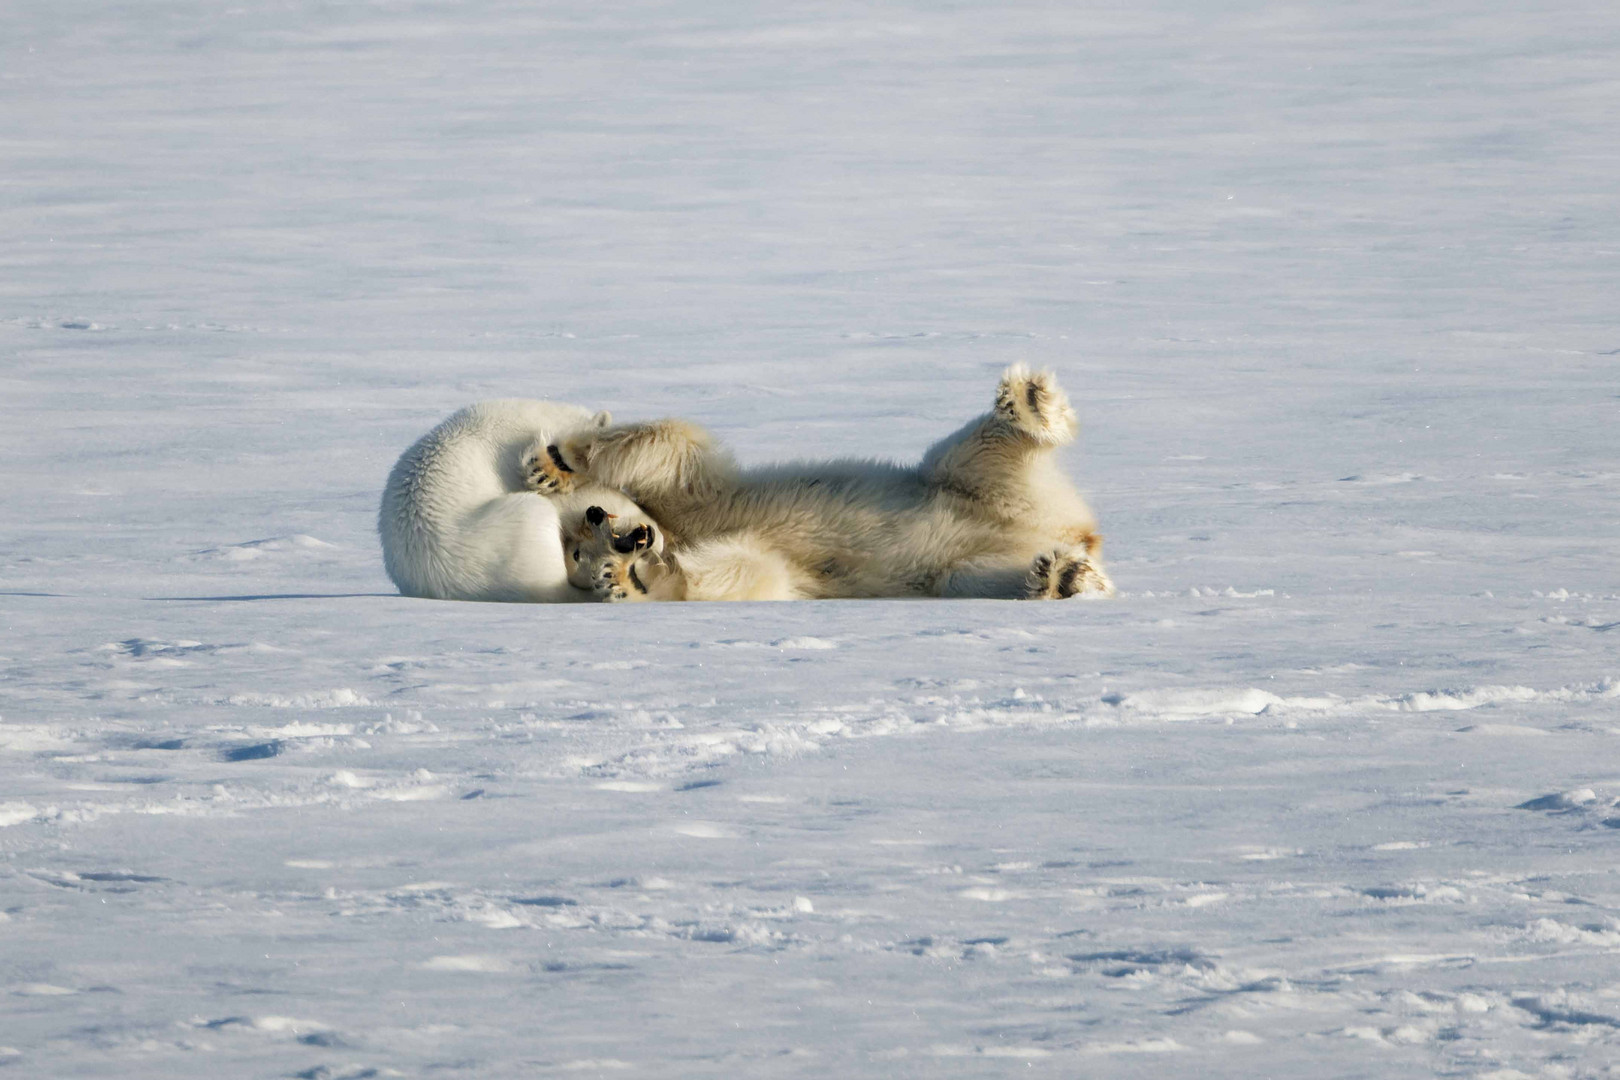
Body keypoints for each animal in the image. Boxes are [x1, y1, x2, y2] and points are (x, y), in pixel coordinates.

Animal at [531, 362, 1114, 599]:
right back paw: (1063, 577)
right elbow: (753, 571)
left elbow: (676, 453)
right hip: (974, 555)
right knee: (974, 575)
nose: (619, 534)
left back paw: (1027, 402)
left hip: (958, 481)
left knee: (976, 450)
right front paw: (629, 580)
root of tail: (1076, 530)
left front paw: (555, 462)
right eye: (577, 555)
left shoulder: (700, 504)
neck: (676, 531)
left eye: (588, 521)